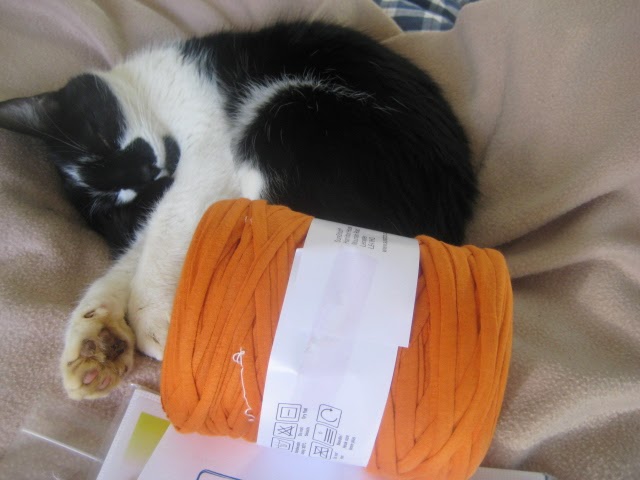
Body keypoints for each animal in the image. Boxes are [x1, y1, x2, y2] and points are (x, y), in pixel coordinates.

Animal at [0, 21, 476, 399]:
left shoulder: (207, 153)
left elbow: (169, 227)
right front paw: (97, 335)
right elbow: (145, 243)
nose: (146, 166)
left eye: (101, 134)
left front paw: (149, 314)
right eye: (122, 197)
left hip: (286, 112)